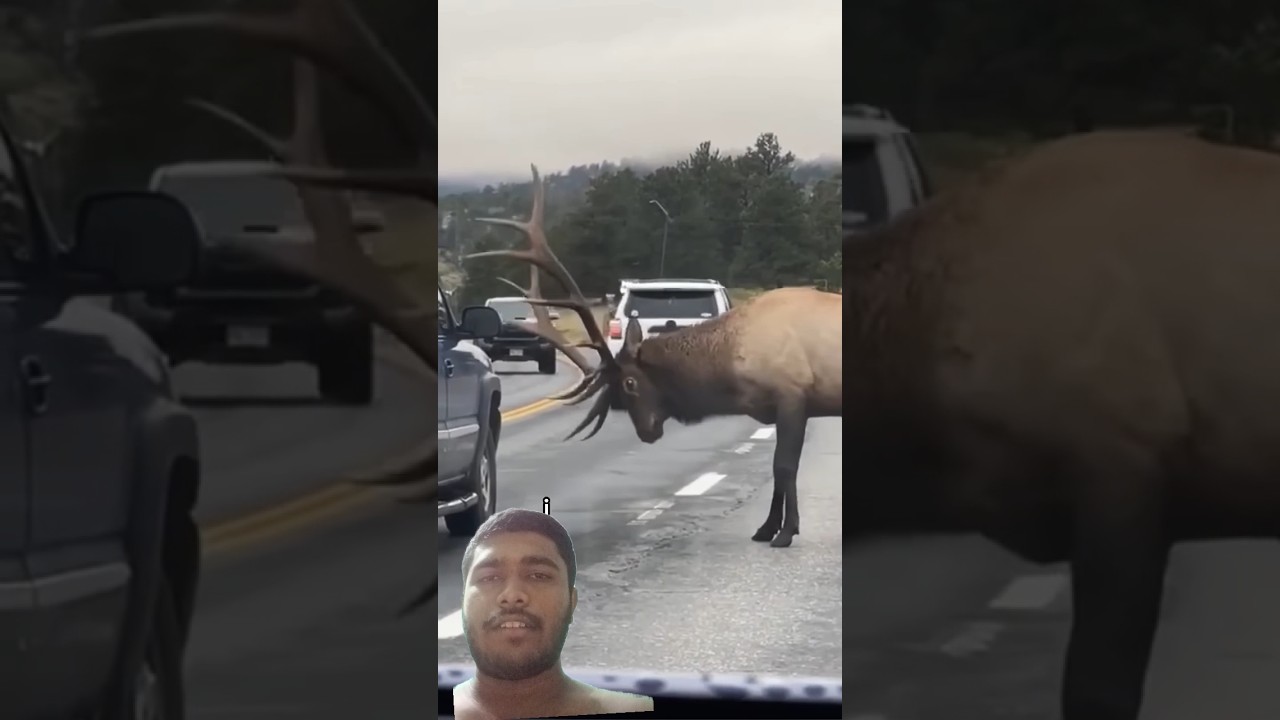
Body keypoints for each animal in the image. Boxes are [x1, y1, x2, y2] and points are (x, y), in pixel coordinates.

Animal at [467, 167, 842, 549]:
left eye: (630, 382)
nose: (646, 432)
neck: (732, 369)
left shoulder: (792, 393)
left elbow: (784, 467)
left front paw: (786, 531)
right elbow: (776, 470)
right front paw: (766, 528)